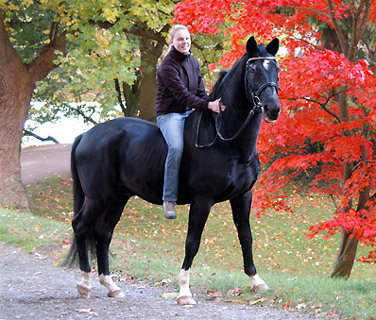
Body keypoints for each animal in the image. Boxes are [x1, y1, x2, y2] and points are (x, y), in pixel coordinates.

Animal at [66, 36, 280, 304]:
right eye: (253, 70)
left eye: (276, 69)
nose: (273, 108)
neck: (225, 140)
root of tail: (86, 135)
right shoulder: (202, 200)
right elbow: (192, 242)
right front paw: (184, 291)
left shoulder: (242, 197)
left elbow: (246, 237)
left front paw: (256, 280)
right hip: (98, 197)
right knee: (81, 227)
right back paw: (85, 283)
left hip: (118, 197)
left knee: (103, 234)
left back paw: (111, 285)